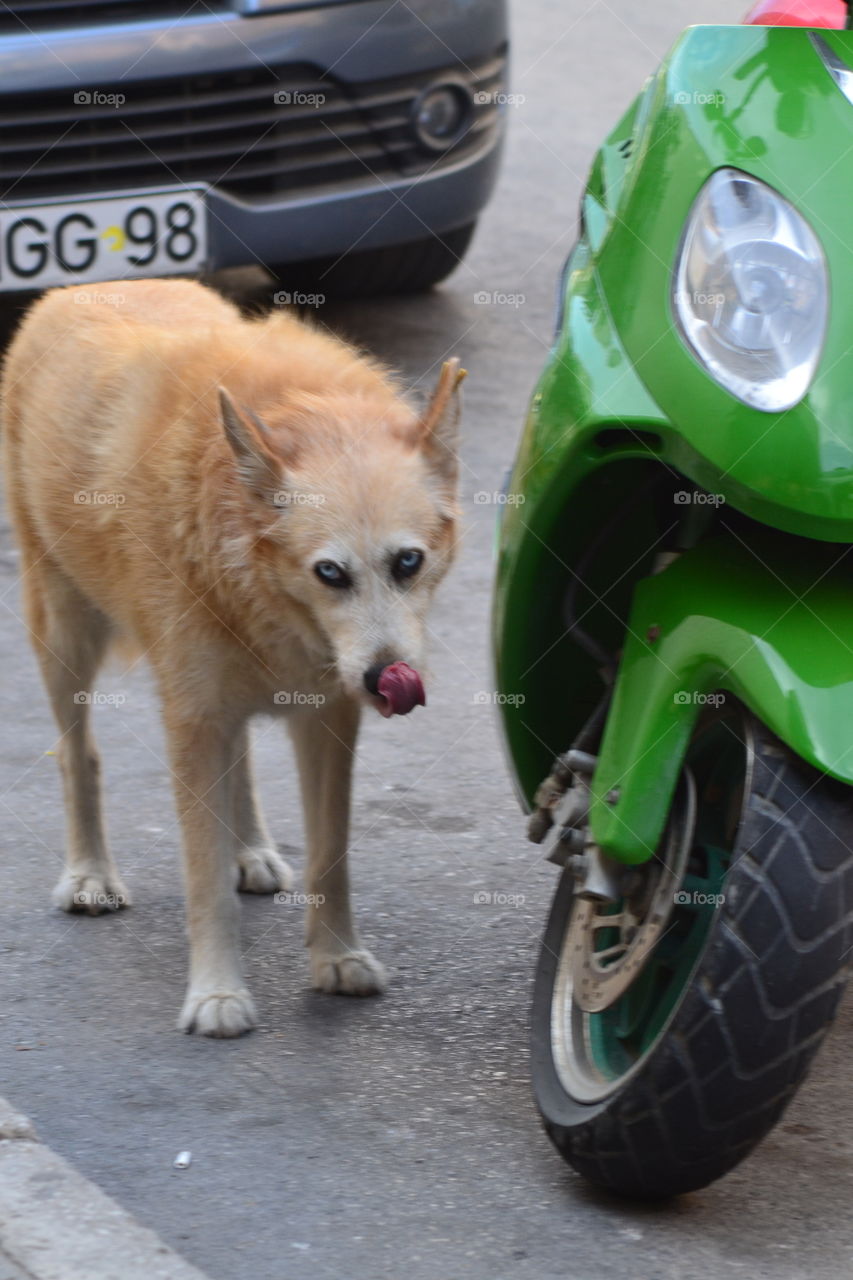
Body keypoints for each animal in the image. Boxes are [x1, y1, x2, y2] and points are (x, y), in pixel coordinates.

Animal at [0, 277, 458, 1029]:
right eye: (329, 572)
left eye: (408, 562)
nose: (384, 679)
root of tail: (85, 288)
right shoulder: (192, 719)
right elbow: (203, 879)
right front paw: (216, 995)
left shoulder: (325, 718)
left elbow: (330, 853)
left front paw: (336, 958)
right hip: (64, 631)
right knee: (78, 753)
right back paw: (90, 874)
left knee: (237, 758)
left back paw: (250, 849)